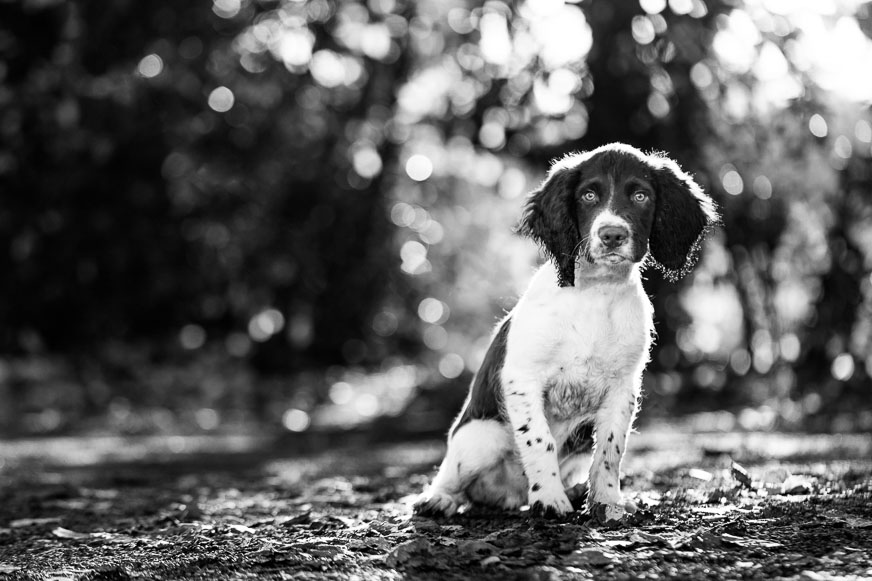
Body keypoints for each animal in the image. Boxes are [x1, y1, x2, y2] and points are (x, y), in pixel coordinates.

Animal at [416, 142, 724, 520]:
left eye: (641, 196)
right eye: (588, 195)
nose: (612, 235)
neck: (596, 292)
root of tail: (510, 496)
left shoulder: (623, 387)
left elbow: (610, 449)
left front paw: (607, 502)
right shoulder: (522, 377)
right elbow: (539, 438)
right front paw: (549, 499)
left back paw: (576, 491)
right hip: (481, 436)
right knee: (453, 476)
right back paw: (439, 499)